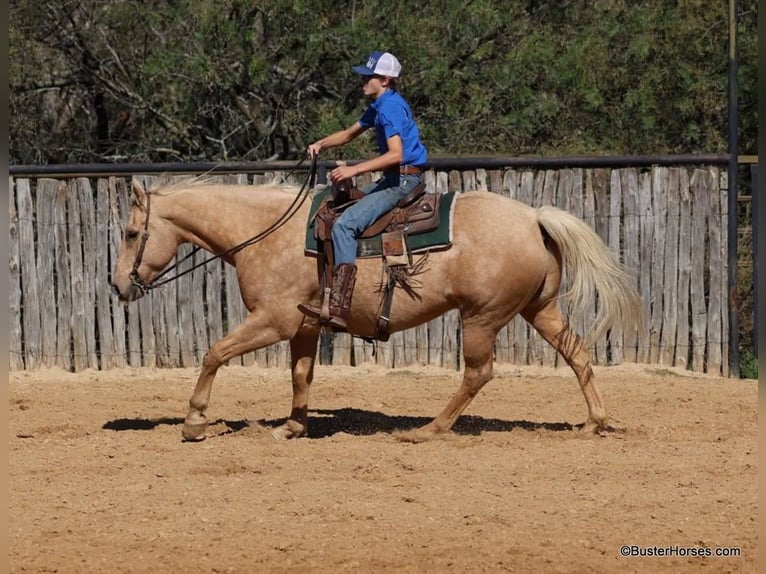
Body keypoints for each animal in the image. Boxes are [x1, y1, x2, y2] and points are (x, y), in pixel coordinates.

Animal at [111, 176, 643, 442]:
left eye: (132, 233)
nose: (118, 285)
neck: (265, 230)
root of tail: (534, 218)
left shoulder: (273, 320)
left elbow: (214, 353)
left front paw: (194, 421)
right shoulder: (304, 326)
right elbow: (300, 374)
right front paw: (293, 425)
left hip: (481, 316)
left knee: (479, 372)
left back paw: (430, 430)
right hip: (540, 308)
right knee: (577, 354)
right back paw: (593, 423)